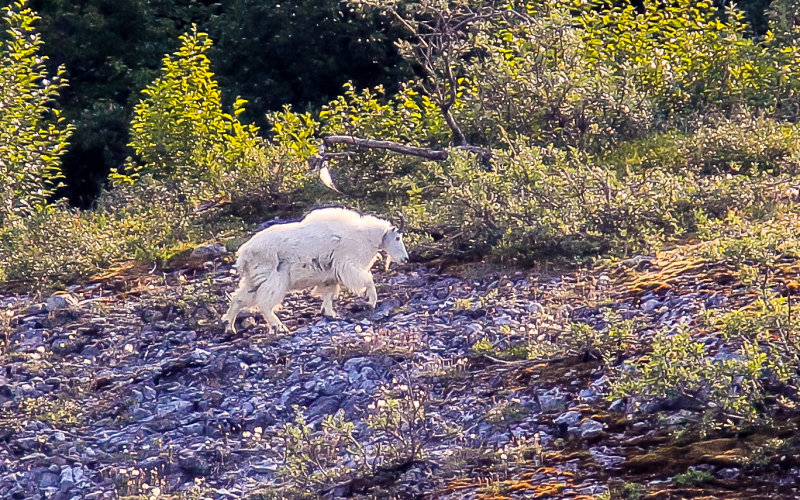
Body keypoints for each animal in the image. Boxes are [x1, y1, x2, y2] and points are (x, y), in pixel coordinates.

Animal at [222, 207, 410, 332]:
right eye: (397, 237)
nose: (406, 259)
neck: (364, 236)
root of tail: (244, 253)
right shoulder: (348, 265)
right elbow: (368, 281)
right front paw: (371, 302)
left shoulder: (331, 275)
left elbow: (329, 293)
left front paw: (328, 313)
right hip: (274, 277)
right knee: (264, 302)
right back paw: (279, 326)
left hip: (254, 278)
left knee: (239, 298)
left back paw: (229, 326)